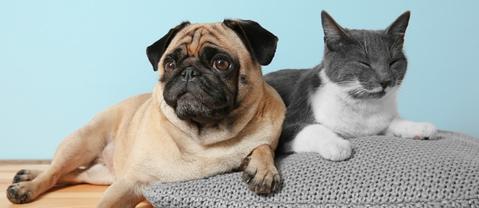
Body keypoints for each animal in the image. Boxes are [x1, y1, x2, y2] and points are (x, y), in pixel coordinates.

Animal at [7, 19, 284, 206]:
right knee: (55, 171)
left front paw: (263, 170)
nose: (188, 72)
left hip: (101, 174)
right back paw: (25, 186)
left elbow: (263, 146)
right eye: (170, 63)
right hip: (83, 143)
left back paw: (25, 176)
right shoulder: (130, 182)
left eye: (221, 63)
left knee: (72, 174)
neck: (204, 137)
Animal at [266, 11, 438, 161]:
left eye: (393, 62)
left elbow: (392, 121)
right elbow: (311, 128)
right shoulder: (287, 122)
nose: (385, 81)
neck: (361, 105)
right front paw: (336, 144)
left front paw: (419, 127)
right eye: (364, 63)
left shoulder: (379, 123)